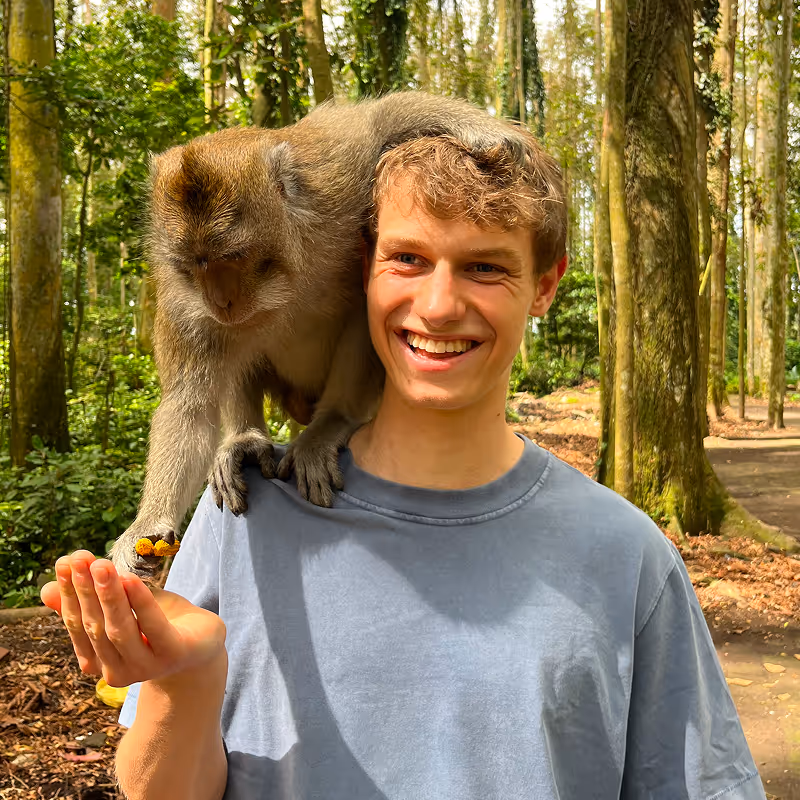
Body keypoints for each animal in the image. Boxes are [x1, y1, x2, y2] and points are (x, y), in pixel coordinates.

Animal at [109, 91, 544, 577]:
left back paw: (331, 422)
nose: (221, 300)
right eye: (195, 263)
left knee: (358, 316)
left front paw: (483, 131)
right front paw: (146, 525)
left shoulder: (334, 185)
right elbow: (189, 407)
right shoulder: (183, 305)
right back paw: (245, 439)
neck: (282, 275)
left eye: (233, 257)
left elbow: (380, 123)